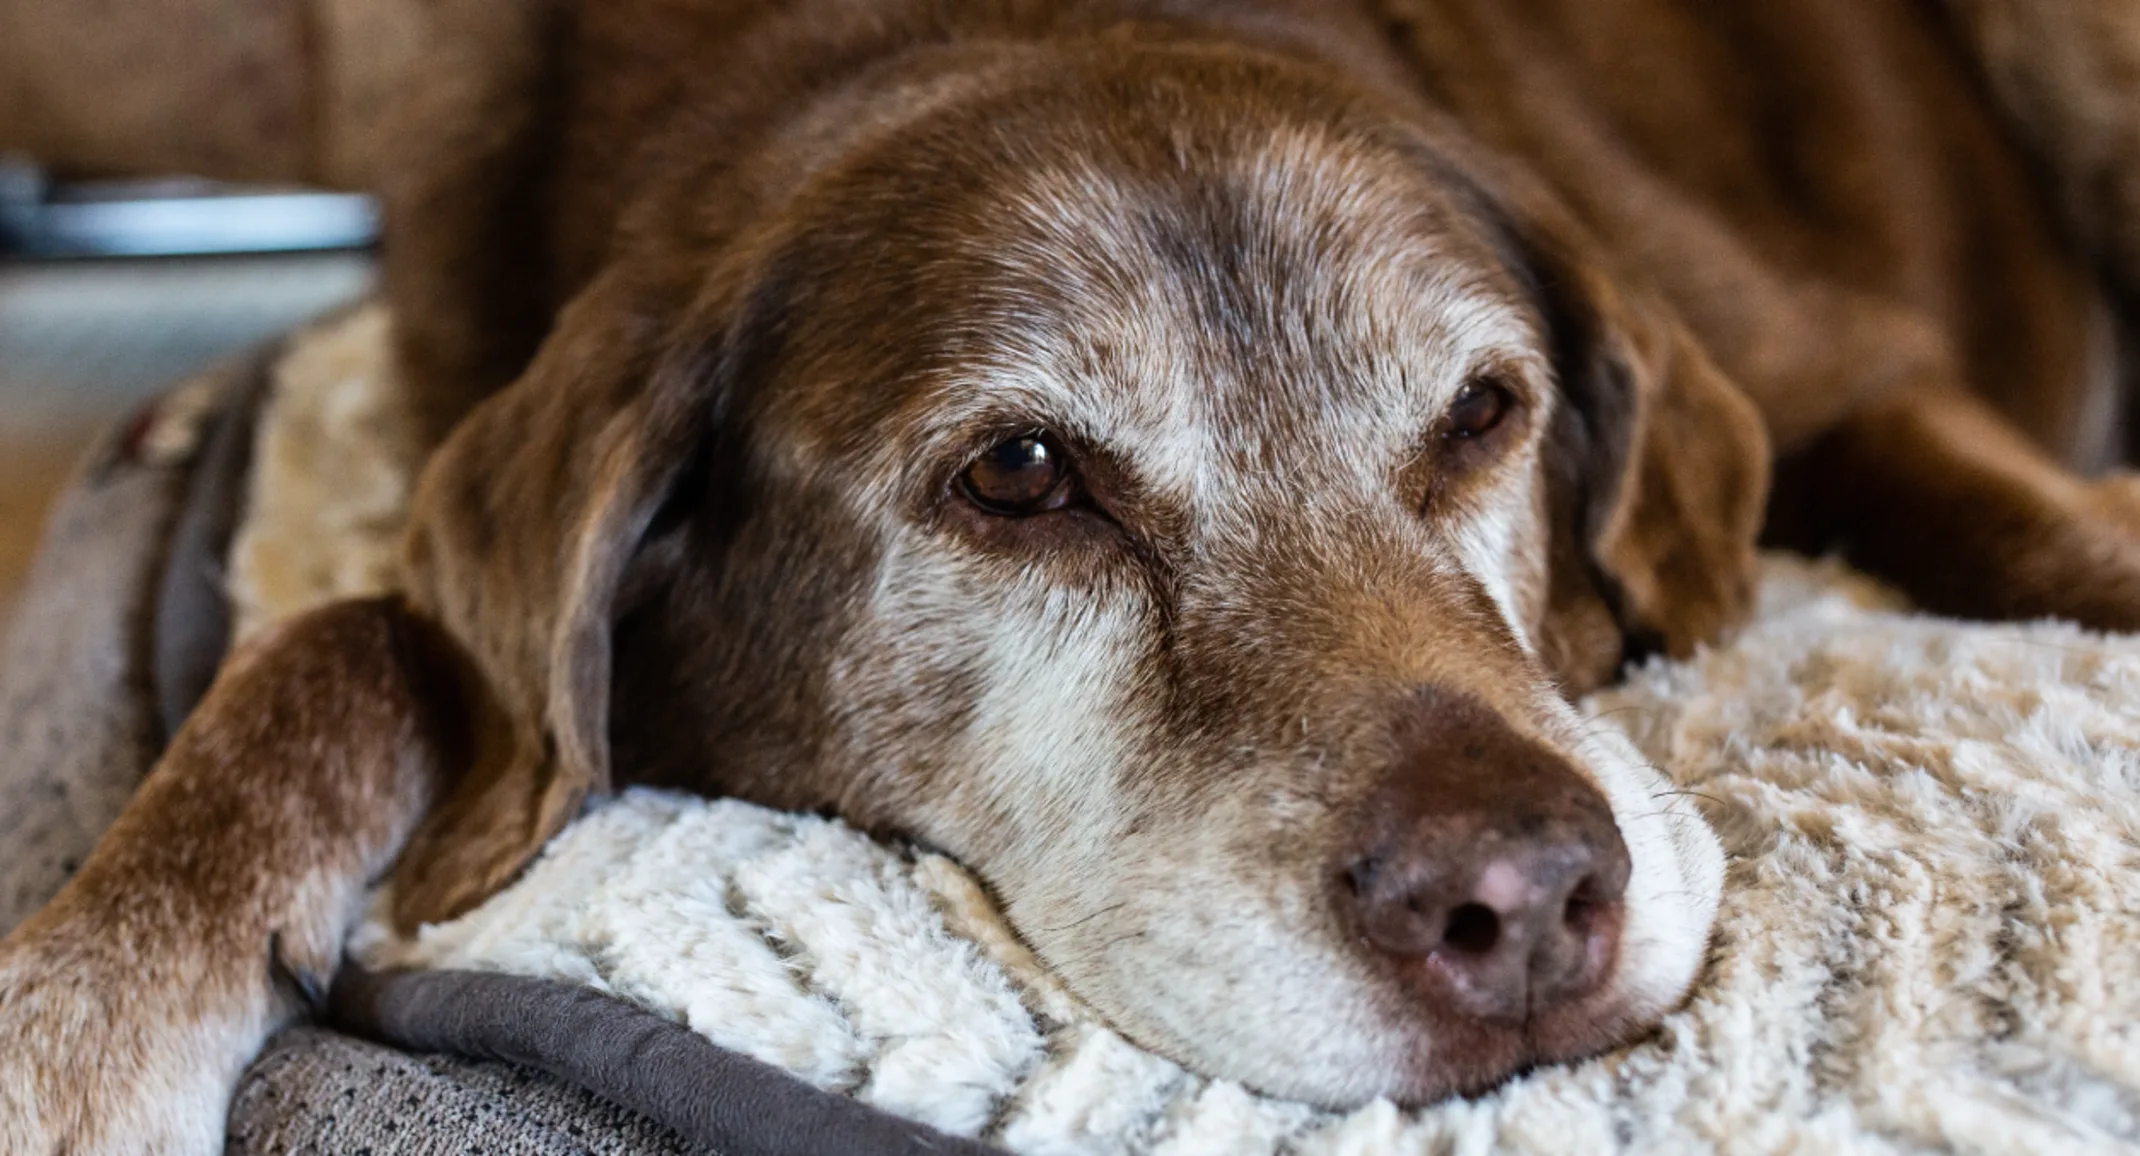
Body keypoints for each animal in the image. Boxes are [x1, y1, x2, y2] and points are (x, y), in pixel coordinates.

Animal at [4, 0, 2140, 1147]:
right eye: (1022, 475)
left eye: (1482, 411)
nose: (1525, 906)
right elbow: (344, 642)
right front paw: (81, 1018)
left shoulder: (1841, 373)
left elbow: (2027, 526)